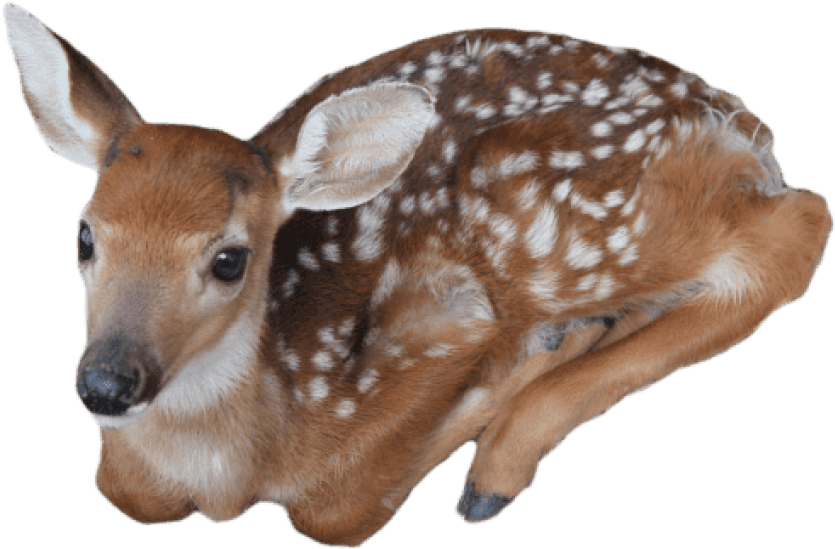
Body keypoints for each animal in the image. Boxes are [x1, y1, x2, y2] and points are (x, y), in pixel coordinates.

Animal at [5, 2, 830, 545]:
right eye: (85, 235)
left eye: (229, 258)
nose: (107, 383)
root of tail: (740, 120)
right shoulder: (128, 472)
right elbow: (123, 488)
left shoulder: (449, 317)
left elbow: (338, 508)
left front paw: (522, 369)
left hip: (549, 226)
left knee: (798, 224)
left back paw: (497, 466)